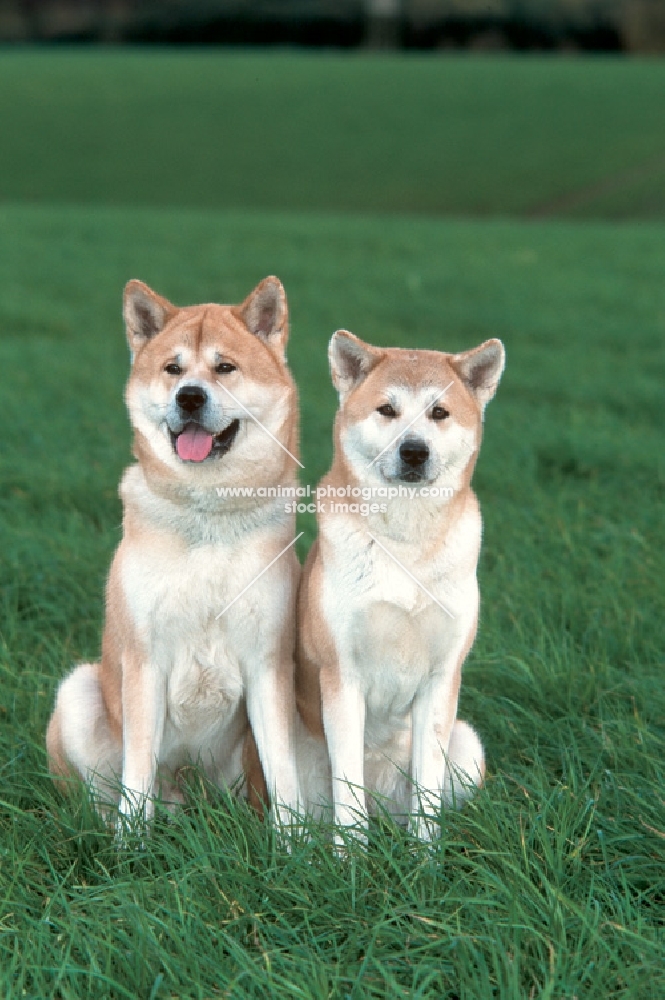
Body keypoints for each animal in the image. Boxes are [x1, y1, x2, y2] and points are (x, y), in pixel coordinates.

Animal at [48, 274, 302, 828]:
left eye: (225, 367)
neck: (206, 518)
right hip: (79, 693)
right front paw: (130, 844)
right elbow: (138, 772)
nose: (189, 398)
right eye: (173, 369)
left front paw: (298, 844)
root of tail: (190, 799)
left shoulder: (269, 662)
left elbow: (284, 773)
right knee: (100, 795)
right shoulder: (146, 660)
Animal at [294, 332, 504, 840]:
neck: (406, 546)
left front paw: (424, 857)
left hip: (468, 746)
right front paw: (350, 857)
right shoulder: (342, 675)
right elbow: (348, 795)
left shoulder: (441, 679)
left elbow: (427, 796)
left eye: (439, 412)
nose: (414, 451)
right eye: (386, 410)